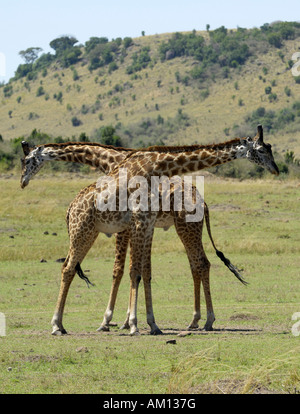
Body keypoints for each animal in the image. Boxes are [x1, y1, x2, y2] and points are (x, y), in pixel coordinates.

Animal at [20, 124, 278, 334]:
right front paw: (126, 322)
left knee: (199, 264)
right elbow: (128, 270)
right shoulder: (137, 223)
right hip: (86, 231)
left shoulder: (143, 223)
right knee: (67, 267)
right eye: (262, 150)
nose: (276, 169)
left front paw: (137, 322)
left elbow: (139, 271)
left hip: (180, 229)